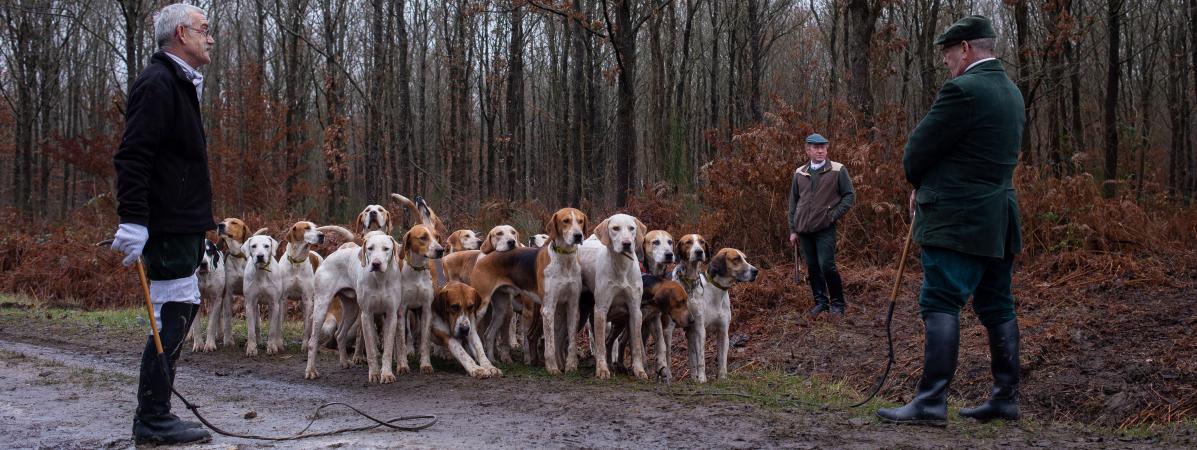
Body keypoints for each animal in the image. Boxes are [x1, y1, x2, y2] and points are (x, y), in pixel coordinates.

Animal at [471, 207, 593, 368]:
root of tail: (486, 255)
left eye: (580, 221)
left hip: (502, 309)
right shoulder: (547, 309)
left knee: (489, 334)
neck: (565, 260)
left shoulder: (572, 306)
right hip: (481, 307)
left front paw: (571, 366)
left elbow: (570, 341)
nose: (578, 235)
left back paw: (492, 360)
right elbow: (550, 343)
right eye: (565, 221)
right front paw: (552, 368)